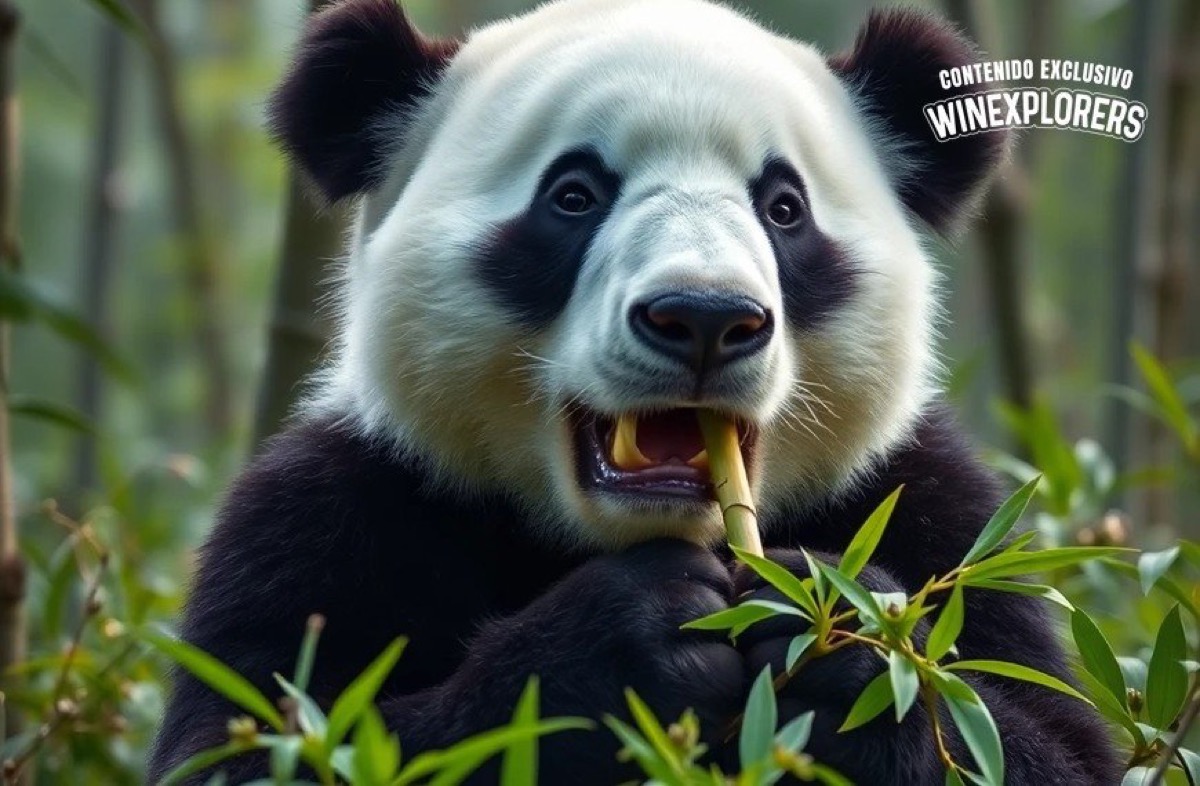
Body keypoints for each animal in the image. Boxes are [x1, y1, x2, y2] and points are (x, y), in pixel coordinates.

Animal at [149, 0, 1120, 783]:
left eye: (784, 208)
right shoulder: (327, 516)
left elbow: (1042, 739)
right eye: (574, 195)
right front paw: (632, 638)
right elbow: (260, 741)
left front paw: (831, 630)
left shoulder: (938, 514)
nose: (704, 316)